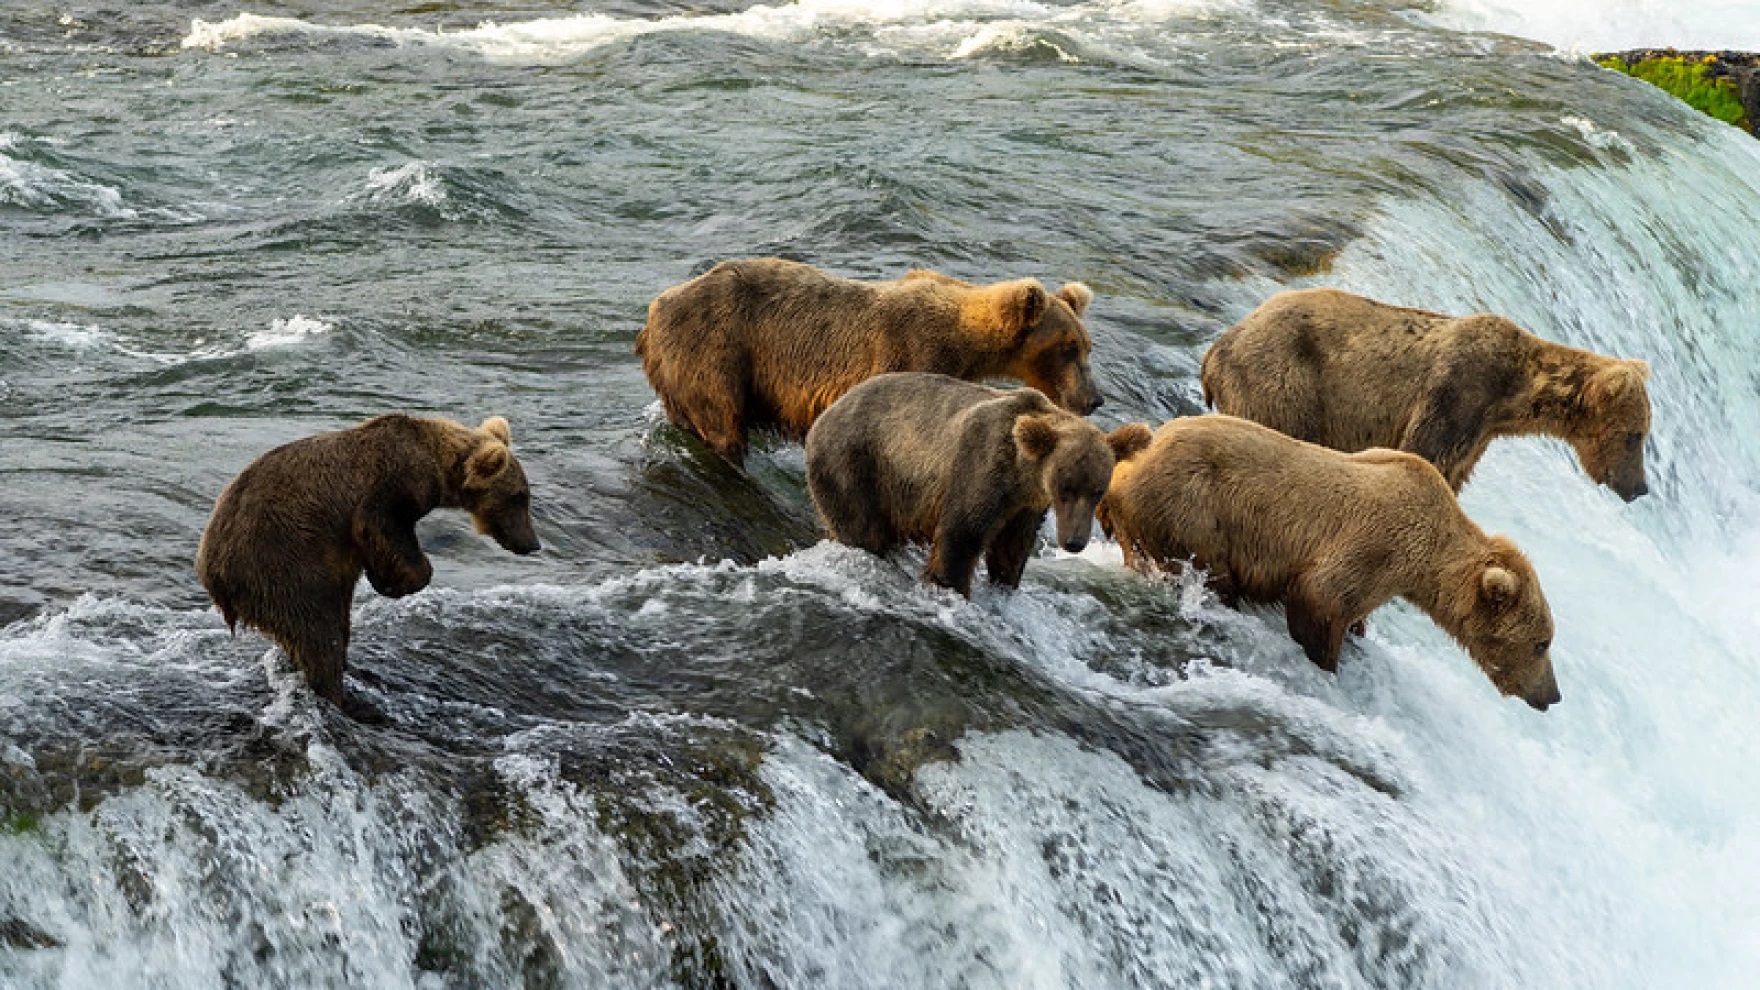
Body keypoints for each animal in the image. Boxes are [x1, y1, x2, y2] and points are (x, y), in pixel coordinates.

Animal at [195, 413, 540, 708]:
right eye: (519, 497)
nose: (532, 543)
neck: (436, 463)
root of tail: (213, 574)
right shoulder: (389, 485)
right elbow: (376, 525)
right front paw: (392, 582)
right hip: (282, 564)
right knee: (318, 631)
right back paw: (350, 700)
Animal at [636, 258, 1102, 468]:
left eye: (1086, 345)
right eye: (1067, 346)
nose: (1094, 399)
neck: (965, 342)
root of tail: (653, 310)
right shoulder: (909, 351)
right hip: (715, 348)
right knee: (721, 417)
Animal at [804, 371, 1151, 597]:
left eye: (1097, 492)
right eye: (1065, 488)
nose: (1075, 542)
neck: (1022, 474)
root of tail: (825, 414)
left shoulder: (1026, 505)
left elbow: (1013, 544)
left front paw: (1006, 581)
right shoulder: (981, 468)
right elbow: (962, 532)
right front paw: (949, 585)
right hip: (855, 465)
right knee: (861, 528)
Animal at [1097, 414, 1560, 710]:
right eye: (1542, 643)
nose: (1551, 695)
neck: (1428, 560)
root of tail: (1129, 466)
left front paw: (1356, 635)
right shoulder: (1377, 544)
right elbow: (1320, 596)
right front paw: (1327, 662)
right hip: (1190, 513)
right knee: (1210, 573)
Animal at [1199, 287, 1652, 500]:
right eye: (1635, 436)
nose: (1640, 488)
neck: (1509, 398)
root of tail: (1216, 347)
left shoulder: (1477, 436)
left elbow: (1451, 477)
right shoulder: (1457, 396)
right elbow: (1423, 455)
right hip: (1281, 381)